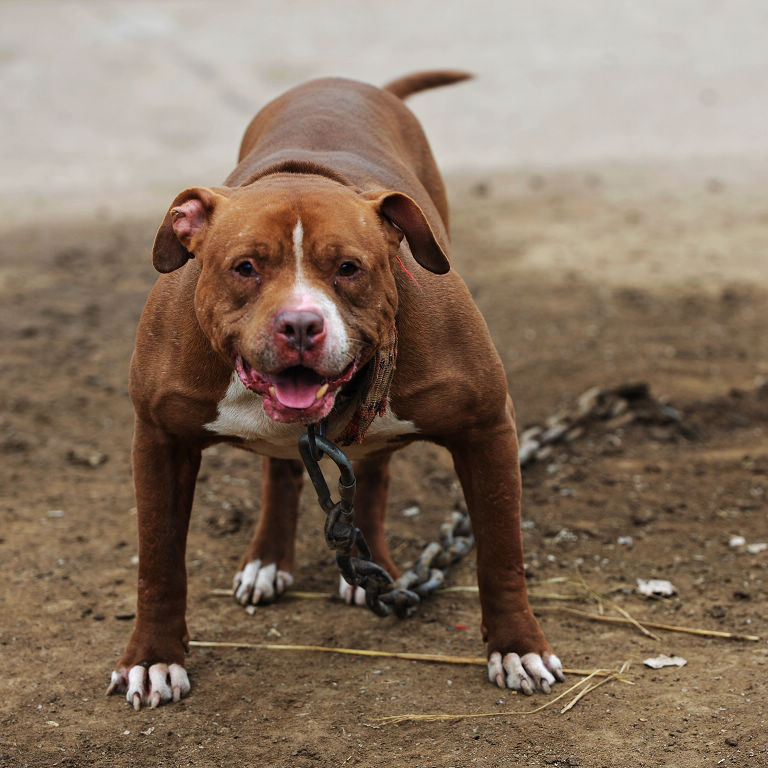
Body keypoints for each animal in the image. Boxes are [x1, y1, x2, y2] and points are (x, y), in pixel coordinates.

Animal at [106, 70, 564, 708]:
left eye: (349, 267)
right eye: (245, 267)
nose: (300, 324)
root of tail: (356, 82)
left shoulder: (488, 426)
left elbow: (501, 554)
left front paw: (518, 648)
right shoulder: (157, 439)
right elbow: (158, 562)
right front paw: (153, 659)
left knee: (371, 469)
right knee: (281, 470)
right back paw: (268, 560)